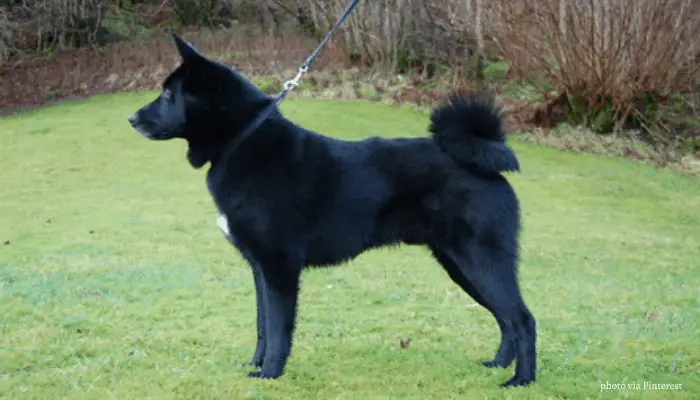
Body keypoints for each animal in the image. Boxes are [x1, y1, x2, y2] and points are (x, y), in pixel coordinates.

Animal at [129, 35, 540, 388]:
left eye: (168, 94)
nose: (131, 119)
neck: (242, 140)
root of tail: (485, 160)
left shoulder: (280, 267)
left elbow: (278, 327)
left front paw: (270, 374)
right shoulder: (259, 268)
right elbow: (262, 324)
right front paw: (254, 364)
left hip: (481, 261)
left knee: (522, 319)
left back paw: (521, 380)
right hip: (461, 266)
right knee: (506, 319)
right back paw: (497, 365)